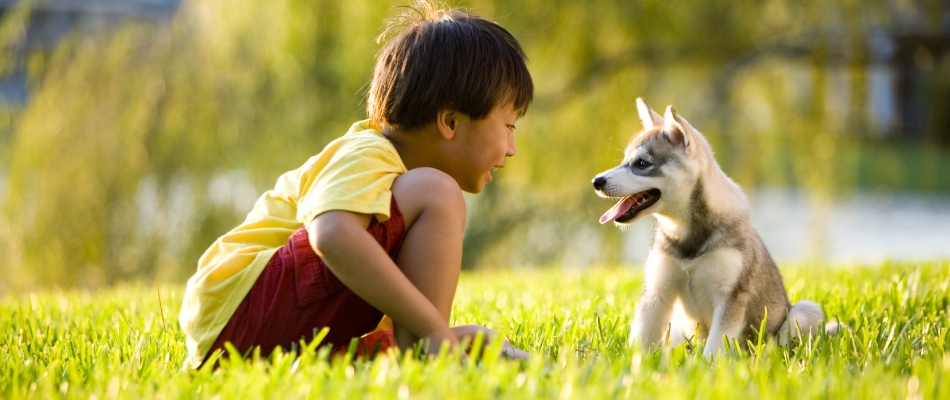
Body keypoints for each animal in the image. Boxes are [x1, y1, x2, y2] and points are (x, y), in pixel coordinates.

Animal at [596, 97, 832, 360]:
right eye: (624, 161)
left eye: (642, 163)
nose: (597, 181)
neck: (687, 234)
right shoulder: (657, 292)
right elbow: (640, 339)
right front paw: (631, 364)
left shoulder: (730, 297)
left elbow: (715, 346)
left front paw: (707, 366)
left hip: (804, 311)